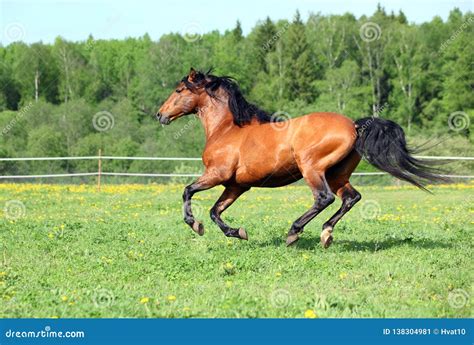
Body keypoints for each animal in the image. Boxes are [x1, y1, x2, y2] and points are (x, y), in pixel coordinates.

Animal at [156, 67, 444, 247]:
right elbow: (216, 211)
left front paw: (195, 225)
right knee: (351, 198)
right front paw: (237, 232)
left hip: (312, 169)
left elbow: (187, 191)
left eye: (179, 90)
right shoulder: (237, 185)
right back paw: (326, 234)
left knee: (324, 198)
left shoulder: (217, 175)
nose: (160, 115)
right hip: (337, 174)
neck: (227, 129)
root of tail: (353, 125)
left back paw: (294, 232)